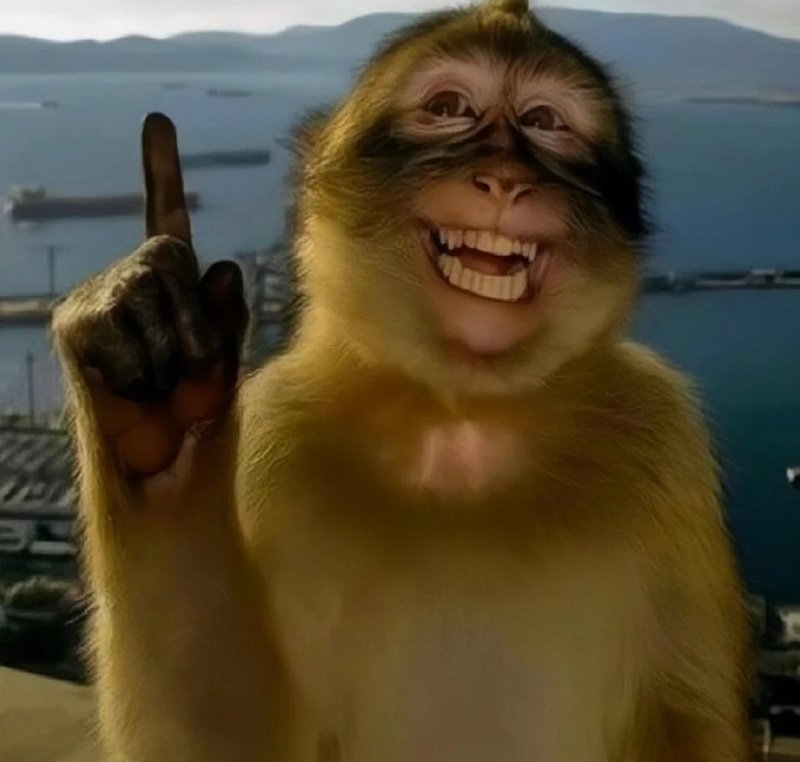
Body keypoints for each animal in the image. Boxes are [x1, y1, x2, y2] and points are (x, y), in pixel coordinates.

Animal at [52, 0, 752, 759]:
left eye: (544, 122)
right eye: (448, 108)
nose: (506, 178)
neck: (463, 417)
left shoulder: (663, 436)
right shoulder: (279, 426)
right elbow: (229, 742)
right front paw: (159, 416)